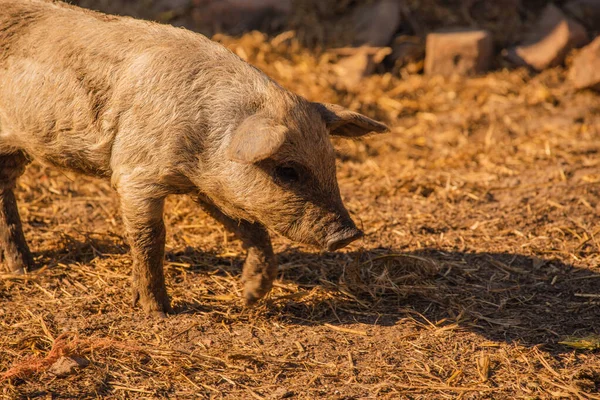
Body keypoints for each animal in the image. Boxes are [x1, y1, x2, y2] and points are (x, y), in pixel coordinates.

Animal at [0, 0, 390, 318]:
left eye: (331, 163)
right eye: (288, 171)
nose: (349, 234)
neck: (205, 143)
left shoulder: (209, 187)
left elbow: (252, 228)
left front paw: (251, 297)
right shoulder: (134, 175)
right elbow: (151, 239)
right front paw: (159, 310)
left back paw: (25, 268)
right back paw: (26, 270)